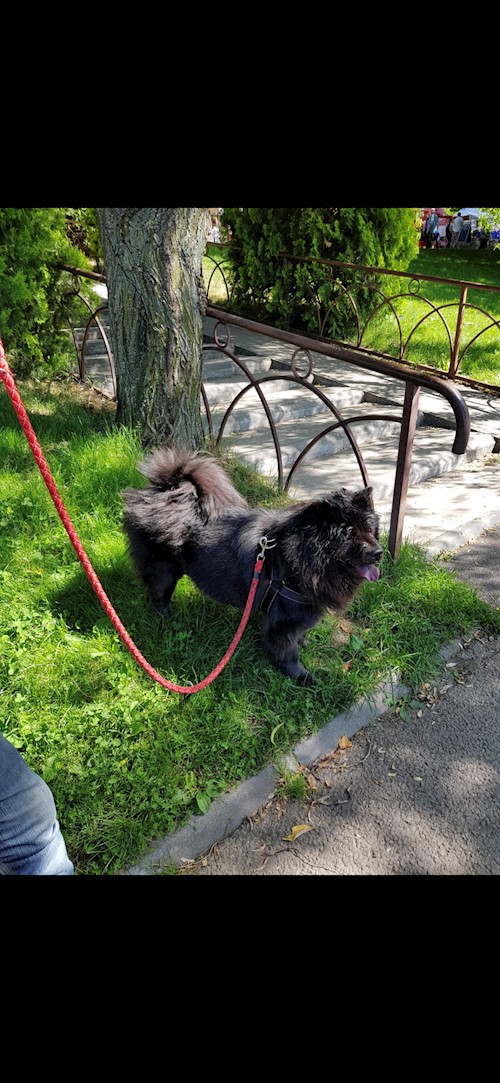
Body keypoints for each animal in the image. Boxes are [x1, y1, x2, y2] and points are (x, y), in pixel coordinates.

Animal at [122, 446, 383, 685]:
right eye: (348, 535)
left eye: (370, 530)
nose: (379, 552)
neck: (299, 557)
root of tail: (164, 493)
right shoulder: (283, 621)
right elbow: (287, 651)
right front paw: (300, 676)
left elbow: (297, 637)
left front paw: (303, 644)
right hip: (163, 571)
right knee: (158, 594)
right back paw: (165, 618)